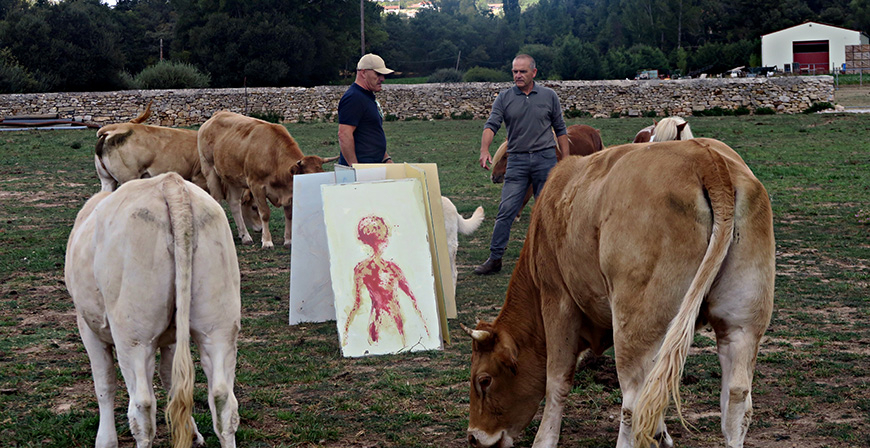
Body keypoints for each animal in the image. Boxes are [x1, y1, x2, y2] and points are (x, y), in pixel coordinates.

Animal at [65, 172, 244, 448]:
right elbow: (171, 378)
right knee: (223, 400)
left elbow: (104, 384)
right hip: (219, 327)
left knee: (143, 407)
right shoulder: (172, 337)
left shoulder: (87, 327)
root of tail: (170, 183)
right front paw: (192, 433)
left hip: (134, 337)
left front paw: (105, 440)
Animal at [199, 109, 338, 248]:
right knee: (217, 200)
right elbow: (265, 214)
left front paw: (288, 240)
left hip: (233, 178)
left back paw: (245, 236)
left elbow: (289, 215)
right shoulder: (256, 186)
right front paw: (267, 241)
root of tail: (218, 114)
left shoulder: (289, 192)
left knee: (234, 204)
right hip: (209, 169)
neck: (273, 155)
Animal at [466, 138, 772, 446]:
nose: (474, 437)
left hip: (633, 324)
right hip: (740, 324)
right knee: (735, 396)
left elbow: (557, 380)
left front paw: (544, 440)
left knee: (634, 402)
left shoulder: (558, 301)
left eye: (484, 380)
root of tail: (705, 157)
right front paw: (661, 436)